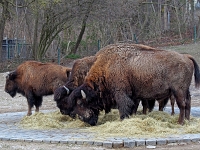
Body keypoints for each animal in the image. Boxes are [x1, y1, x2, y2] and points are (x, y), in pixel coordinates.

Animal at [54, 43, 200, 125]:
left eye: (80, 103)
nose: (84, 120)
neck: (107, 67)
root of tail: (186, 57)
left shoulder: (121, 93)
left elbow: (124, 107)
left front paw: (122, 120)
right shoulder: (133, 95)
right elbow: (133, 106)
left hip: (178, 90)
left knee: (182, 105)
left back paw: (180, 123)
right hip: (185, 90)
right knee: (188, 103)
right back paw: (187, 121)